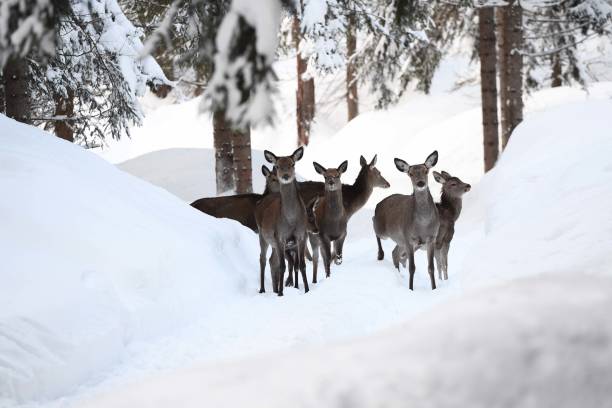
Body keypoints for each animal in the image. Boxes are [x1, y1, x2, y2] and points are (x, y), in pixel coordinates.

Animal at [255, 148, 308, 294]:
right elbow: (283, 266)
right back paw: (263, 289)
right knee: (262, 259)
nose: (285, 176)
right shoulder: (280, 236)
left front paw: (307, 290)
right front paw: (280, 293)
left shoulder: (301, 236)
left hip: (274, 243)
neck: (291, 220)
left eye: (292, 164)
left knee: (272, 260)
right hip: (262, 235)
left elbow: (302, 265)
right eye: (278, 166)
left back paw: (274, 289)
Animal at [372, 151, 440, 290]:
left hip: (401, 240)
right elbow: (412, 268)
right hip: (384, 231)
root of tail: (378, 204)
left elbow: (431, 268)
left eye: (426, 171)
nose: (420, 183)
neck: (423, 224)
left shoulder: (432, 238)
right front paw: (410, 288)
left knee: (395, 253)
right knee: (374, 227)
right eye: (411, 173)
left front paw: (434, 288)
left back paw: (398, 274)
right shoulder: (409, 238)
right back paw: (380, 255)